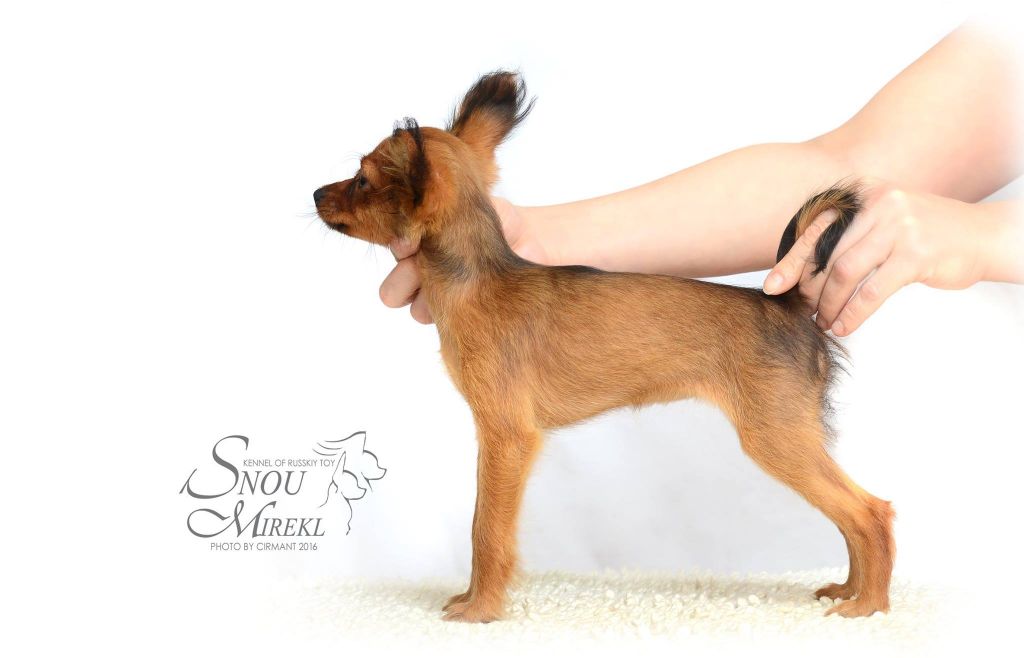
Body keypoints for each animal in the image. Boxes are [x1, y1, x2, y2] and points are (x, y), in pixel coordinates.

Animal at [313, 71, 895, 621]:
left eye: (362, 180)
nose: (316, 193)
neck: (475, 279)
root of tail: (789, 301)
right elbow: (484, 524)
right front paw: (475, 600)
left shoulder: (506, 437)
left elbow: (486, 530)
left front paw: (480, 610)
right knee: (852, 517)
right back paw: (849, 590)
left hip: (776, 436)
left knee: (870, 513)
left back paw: (867, 607)